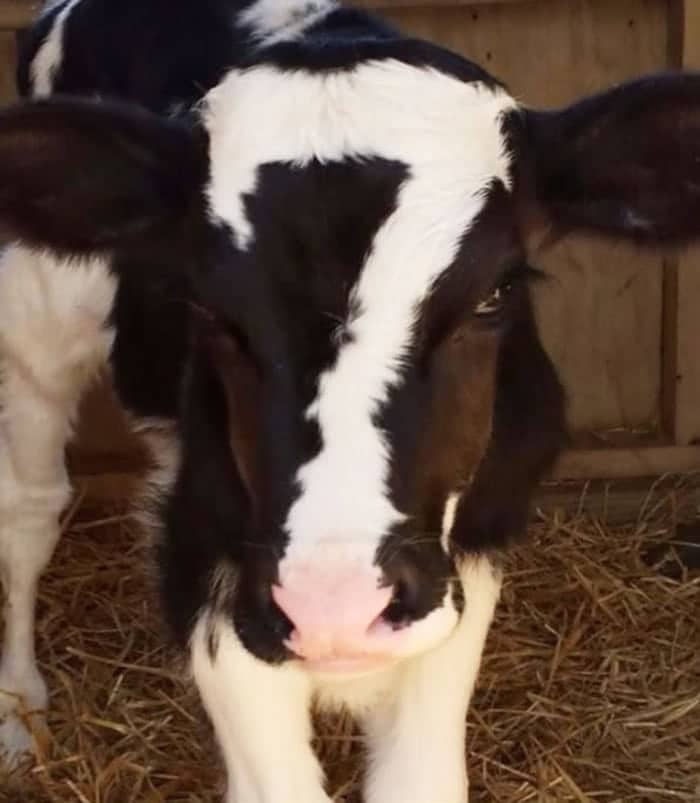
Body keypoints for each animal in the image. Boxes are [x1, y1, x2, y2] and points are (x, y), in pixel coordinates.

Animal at [1, 1, 700, 801]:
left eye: (494, 294)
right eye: (207, 307)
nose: (332, 605)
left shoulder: (465, 562)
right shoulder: (206, 558)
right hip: (37, 324)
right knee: (30, 508)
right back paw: (20, 714)